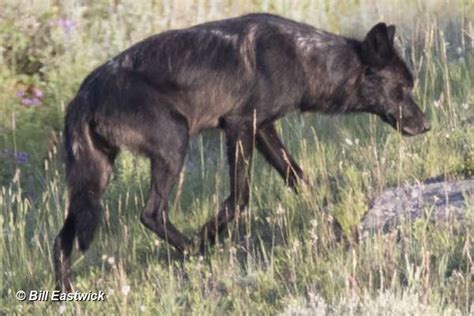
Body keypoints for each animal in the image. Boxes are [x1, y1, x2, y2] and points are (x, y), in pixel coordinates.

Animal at [53, 13, 432, 292]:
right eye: (402, 89)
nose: (426, 125)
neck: (302, 58)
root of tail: (82, 95)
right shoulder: (238, 127)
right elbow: (240, 197)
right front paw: (208, 236)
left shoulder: (263, 130)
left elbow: (302, 183)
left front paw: (338, 232)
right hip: (174, 145)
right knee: (151, 214)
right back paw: (194, 251)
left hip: (94, 181)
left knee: (61, 239)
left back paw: (65, 292)